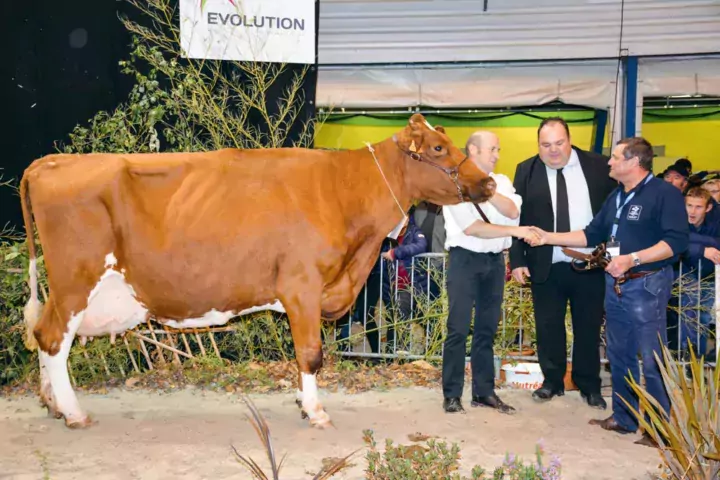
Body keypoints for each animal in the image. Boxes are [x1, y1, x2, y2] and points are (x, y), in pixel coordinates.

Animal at [21, 114, 496, 430]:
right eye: (438, 149)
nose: (489, 183)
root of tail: (51, 162)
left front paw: (304, 401)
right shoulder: (302, 285)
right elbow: (311, 353)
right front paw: (315, 410)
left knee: (42, 333)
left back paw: (53, 404)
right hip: (76, 280)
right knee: (53, 338)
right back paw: (74, 412)